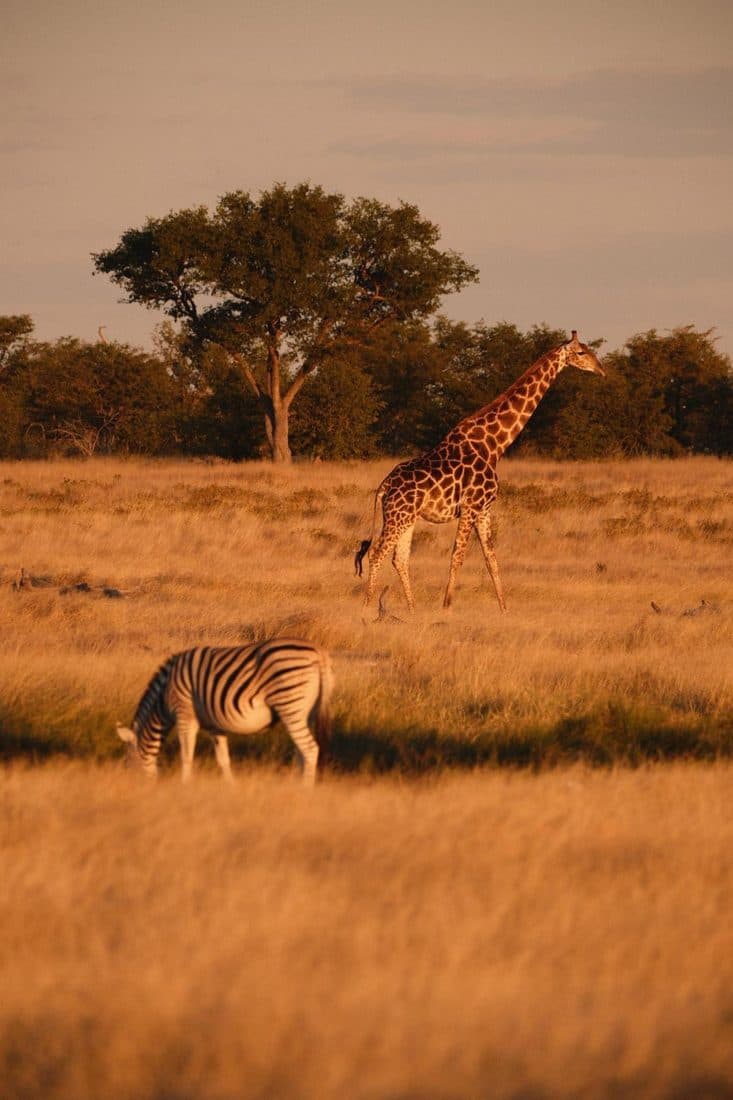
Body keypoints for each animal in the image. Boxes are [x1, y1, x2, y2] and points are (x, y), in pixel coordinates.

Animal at [116, 638, 333, 786]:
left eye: (127, 763)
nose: (132, 788)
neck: (164, 694)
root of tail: (318, 653)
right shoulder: (214, 725)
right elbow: (223, 759)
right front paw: (231, 787)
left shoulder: (185, 714)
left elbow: (186, 756)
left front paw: (185, 786)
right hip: (308, 713)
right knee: (301, 751)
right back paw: (295, 784)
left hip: (290, 705)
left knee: (310, 749)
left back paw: (305, 790)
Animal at [359, 331, 604, 613]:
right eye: (581, 352)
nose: (601, 369)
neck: (494, 445)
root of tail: (384, 486)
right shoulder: (471, 506)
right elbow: (458, 555)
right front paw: (447, 606)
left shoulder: (485, 509)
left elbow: (491, 558)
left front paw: (504, 609)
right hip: (398, 516)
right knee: (377, 552)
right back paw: (367, 607)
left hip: (407, 517)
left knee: (399, 558)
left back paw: (412, 609)